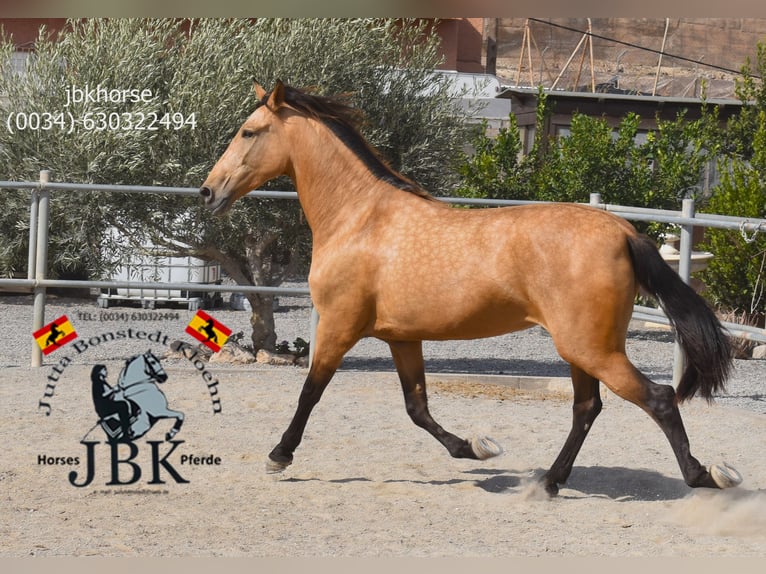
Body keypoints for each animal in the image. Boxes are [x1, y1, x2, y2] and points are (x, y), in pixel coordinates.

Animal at [201, 81, 740, 500]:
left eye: (249, 131)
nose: (208, 192)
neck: (360, 219)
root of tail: (623, 231)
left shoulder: (338, 326)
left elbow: (310, 392)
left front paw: (279, 455)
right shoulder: (402, 337)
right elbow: (417, 407)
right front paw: (476, 447)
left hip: (592, 348)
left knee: (658, 398)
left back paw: (704, 476)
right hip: (582, 349)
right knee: (588, 408)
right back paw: (549, 481)